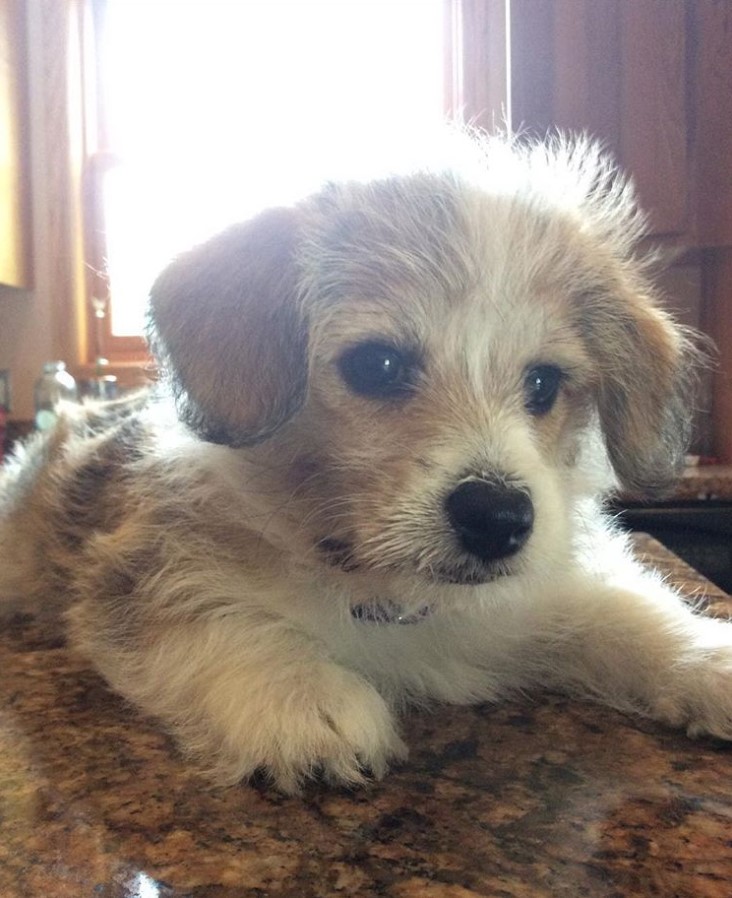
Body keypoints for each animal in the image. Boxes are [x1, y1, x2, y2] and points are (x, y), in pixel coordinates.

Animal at [1, 133, 732, 792]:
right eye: (377, 366)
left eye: (544, 383)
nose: (498, 518)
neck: (387, 592)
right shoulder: (138, 575)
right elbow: (207, 617)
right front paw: (298, 692)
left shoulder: (541, 592)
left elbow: (626, 611)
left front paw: (708, 658)